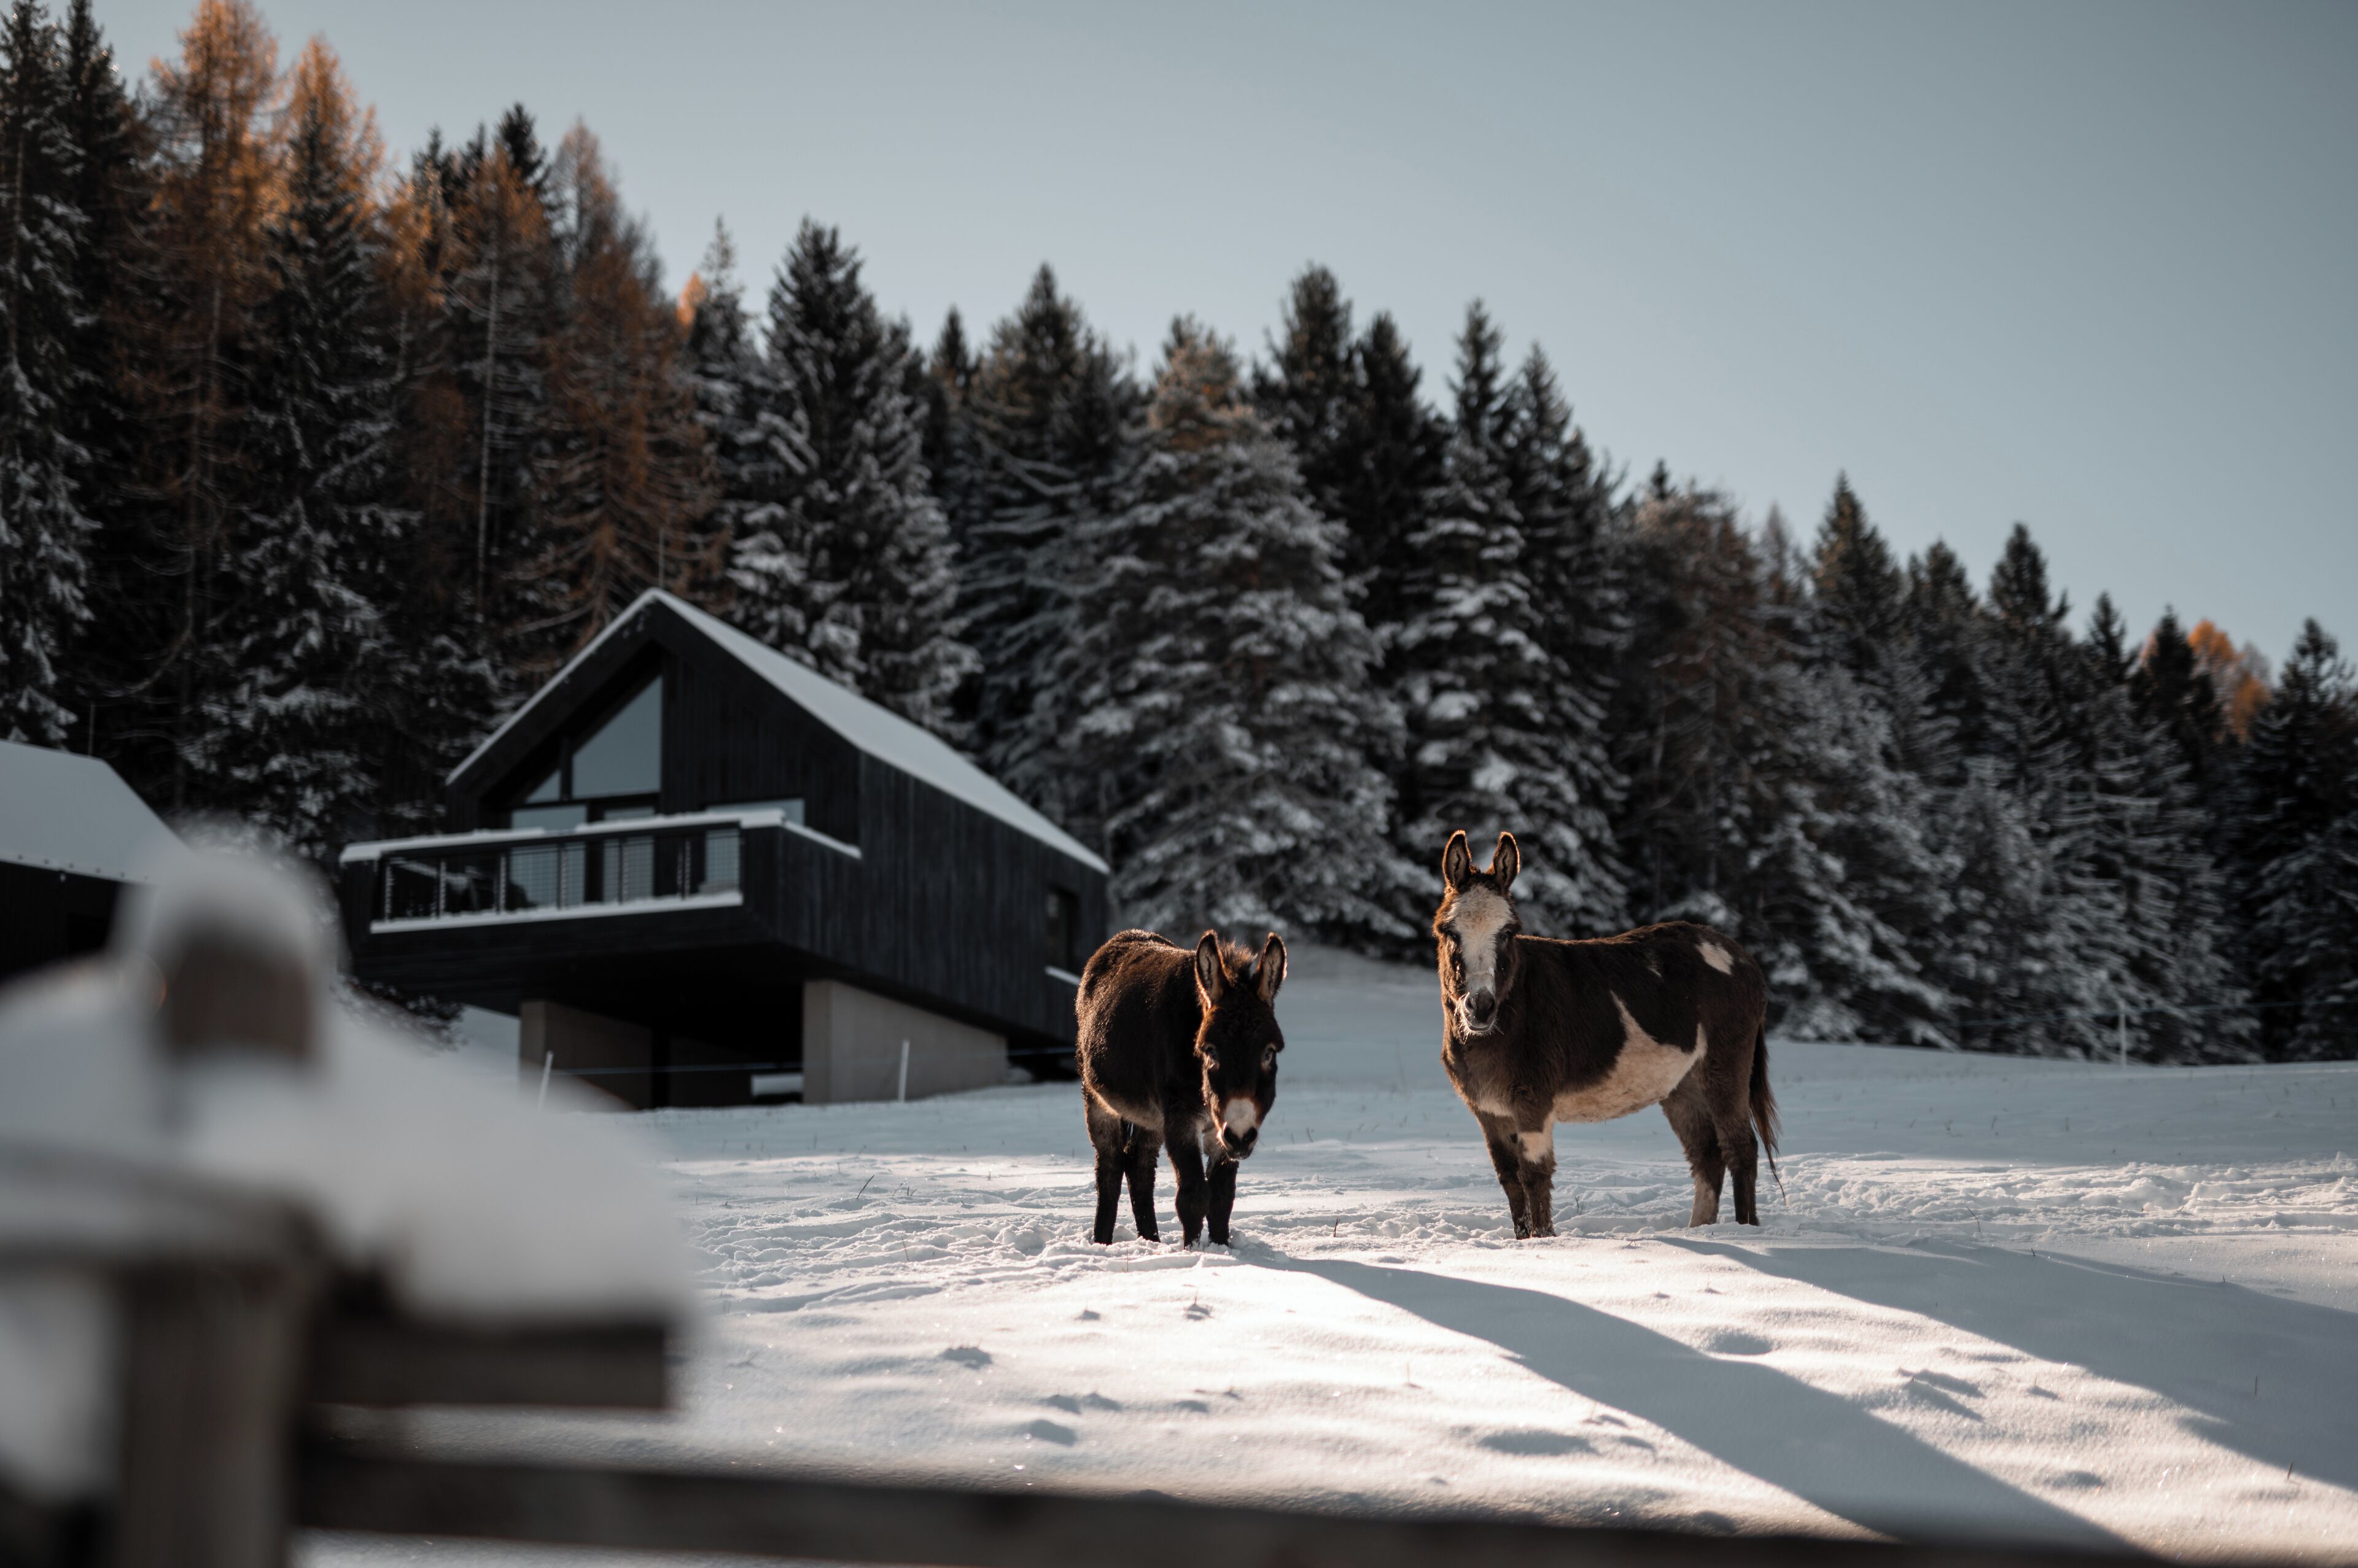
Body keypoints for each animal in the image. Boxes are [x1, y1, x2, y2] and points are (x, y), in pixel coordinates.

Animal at [1075, 929, 1285, 1247]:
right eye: (1210, 1051)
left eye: (1269, 1053)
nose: (1240, 1136)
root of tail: (1124, 937)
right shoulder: (1180, 1118)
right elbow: (1193, 1196)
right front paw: (1193, 1250)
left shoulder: (1220, 1131)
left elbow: (1222, 1198)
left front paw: (1222, 1248)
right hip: (1098, 1099)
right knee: (1110, 1163)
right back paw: (1103, 1242)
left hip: (1150, 1116)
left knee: (1139, 1164)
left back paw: (1151, 1241)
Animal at [1431, 830, 1777, 1237]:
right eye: (1450, 932)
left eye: (1508, 933)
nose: (1480, 1007)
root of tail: (1737, 953)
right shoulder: (1488, 1113)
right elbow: (1511, 1181)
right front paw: (1522, 1242)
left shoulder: (1533, 1103)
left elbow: (1535, 1177)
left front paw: (1542, 1242)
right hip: (1682, 1084)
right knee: (1706, 1154)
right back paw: (1700, 1230)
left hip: (1725, 1067)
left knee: (1740, 1147)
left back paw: (1744, 1230)